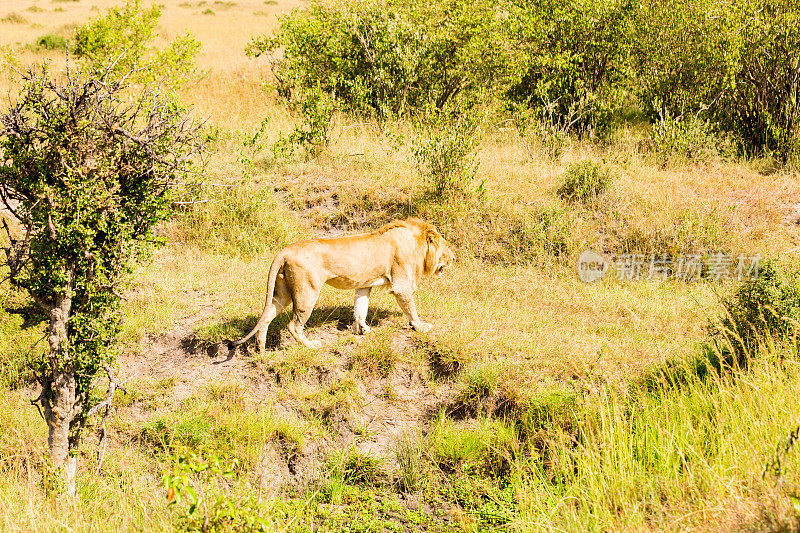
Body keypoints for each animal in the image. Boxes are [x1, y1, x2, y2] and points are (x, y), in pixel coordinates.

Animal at [228, 218, 454, 352]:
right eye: (445, 247)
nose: (454, 258)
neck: (417, 244)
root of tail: (284, 251)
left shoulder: (364, 284)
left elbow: (360, 308)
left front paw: (361, 329)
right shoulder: (401, 284)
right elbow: (411, 309)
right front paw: (420, 326)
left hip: (281, 293)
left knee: (266, 317)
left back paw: (261, 349)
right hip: (307, 291)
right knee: (294, 325)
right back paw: (311, 345)